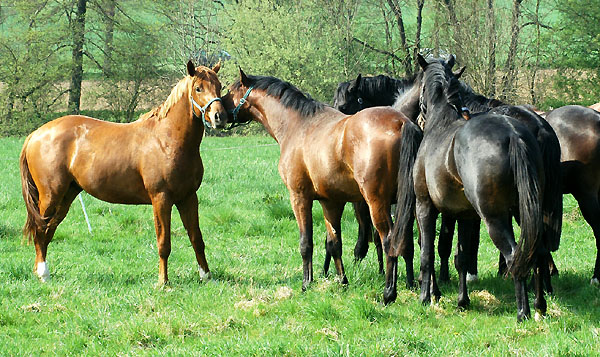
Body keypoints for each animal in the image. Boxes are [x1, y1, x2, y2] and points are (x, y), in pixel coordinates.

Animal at [20, 60, 227, 284]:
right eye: (198, 88)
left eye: (220, 86)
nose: (219, 117)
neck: (167, 139)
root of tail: (36, 134)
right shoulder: (161, 199)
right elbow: (164, 243)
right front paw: (163, 282)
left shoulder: (188, 197)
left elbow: (196, 238)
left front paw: (206, 276)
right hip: (50, 196)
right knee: (41, 230)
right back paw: (43, 274)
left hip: (67, 195)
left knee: (49, 230)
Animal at [221, 68, 422, 290]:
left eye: (230, 90)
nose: (217, 113)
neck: (299, 125)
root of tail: (401, 123)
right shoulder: (331, 202)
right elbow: (334, 244)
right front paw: (342, 280)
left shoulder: (299, 197)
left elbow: (306, 243)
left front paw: (306, 283)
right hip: (408, 205)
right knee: (407, 242)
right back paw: (412, 284)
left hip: (377, 204)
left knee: (388, 241)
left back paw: (389, 289)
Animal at [390, 55, 552, 320]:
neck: (441, 121)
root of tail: (513, 133)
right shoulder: (466, 216)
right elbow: (463, 258)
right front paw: (462, 301)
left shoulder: (425, 207)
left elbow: (427, 254)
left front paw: (425, 298)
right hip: (526, 213)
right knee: (537, 253)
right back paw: (539, 305)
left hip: (494, 218)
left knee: (514, 257)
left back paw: (523, 311)